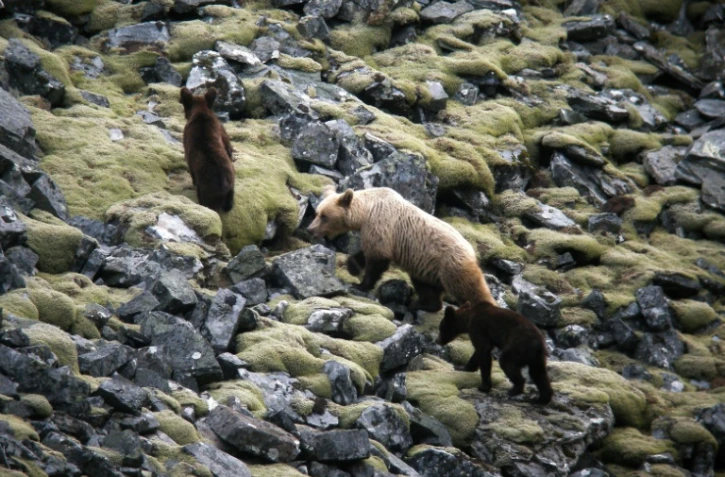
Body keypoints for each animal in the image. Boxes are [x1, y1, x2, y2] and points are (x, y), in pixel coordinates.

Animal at [306, 186, 496, 312]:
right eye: (317, 213)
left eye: (324, 216)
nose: (310, 229)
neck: (366, 211)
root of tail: (472, 250)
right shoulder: (376, 232)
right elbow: (367, 252)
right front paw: (353, 266)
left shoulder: (381, 225)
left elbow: (377, 260)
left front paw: (360, 284)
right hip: (426, 266)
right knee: (426, 287)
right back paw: (422, 304)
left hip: (452, 264)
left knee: (469, 288)